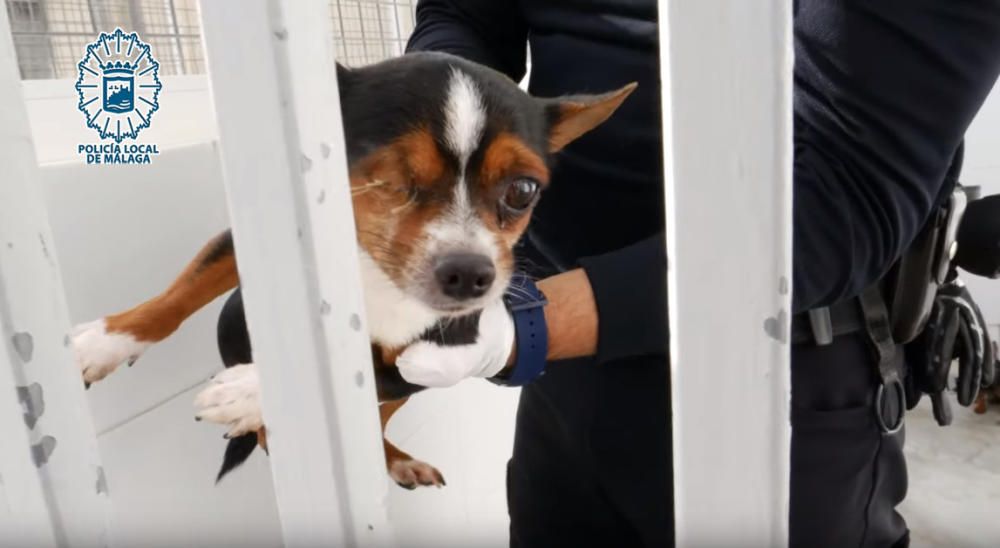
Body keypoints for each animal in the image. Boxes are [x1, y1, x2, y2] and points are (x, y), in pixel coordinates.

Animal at [72, 51, 632, 488]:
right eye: (389, 179)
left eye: (523, 191)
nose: (472, 275)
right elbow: (183, 290)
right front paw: (106, 342)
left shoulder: (437, 350)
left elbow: (358, 377)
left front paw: (255, 390)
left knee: (374, 416)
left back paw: (387, 458)